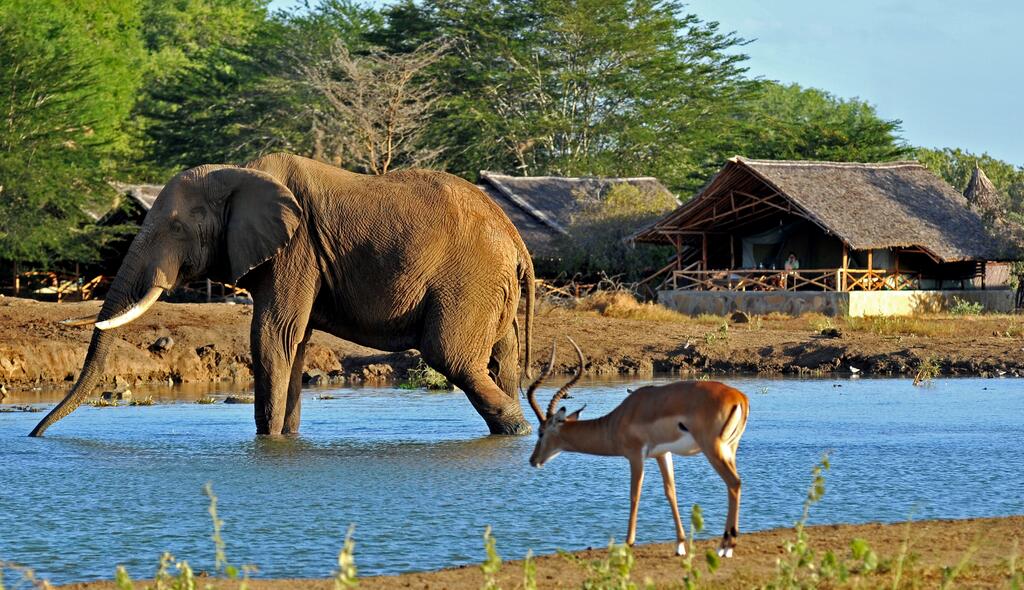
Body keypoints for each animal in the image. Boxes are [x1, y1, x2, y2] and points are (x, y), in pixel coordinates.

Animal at [29, 151, 536, 438]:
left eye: (175, 228)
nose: (35, 435)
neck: (238, 175)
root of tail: (516, 239)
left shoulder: (296, 248)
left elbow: (274, 337)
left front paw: (267, 442)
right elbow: (296, 342)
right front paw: (285, 438)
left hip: (469, 280)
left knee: (450, 356)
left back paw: (519, 427)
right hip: (492, 288)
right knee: (501, 358)